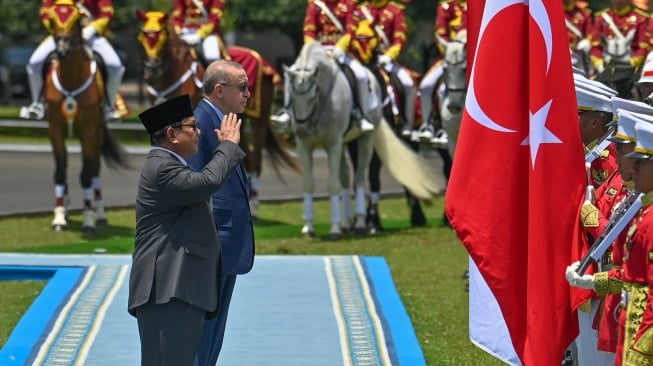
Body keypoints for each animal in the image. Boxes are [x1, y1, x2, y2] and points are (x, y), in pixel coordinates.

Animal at [43, 0, 129, 234]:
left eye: (75, 23)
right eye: (53, 20)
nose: (62, 51)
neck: (71, 80)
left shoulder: (89, 131)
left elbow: (87, 175)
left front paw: (89, 221)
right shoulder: (56, 129)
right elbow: (60, 172)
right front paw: (59, 218)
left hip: (96, 134)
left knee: (95, 170)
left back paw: (99, 215)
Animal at [139, 9, 302, 217]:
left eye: (162, 37)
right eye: (143, 37)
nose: (151, 72)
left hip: (259, 118)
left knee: (257, 157)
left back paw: (254, 203)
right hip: (242, 118)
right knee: (248, 156)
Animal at [284, 41, 440, 239]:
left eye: (312, 96)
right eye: (291, 95)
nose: (303, 130)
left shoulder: (333, 143)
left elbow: (334, 184)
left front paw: (335, 229)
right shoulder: (305, 145)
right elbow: (309, 183)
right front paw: (309, 227)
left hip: (365, 140)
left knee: (360, 178)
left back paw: (360, 222)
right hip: (347, 143)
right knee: (347, 177)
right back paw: (348, 223)